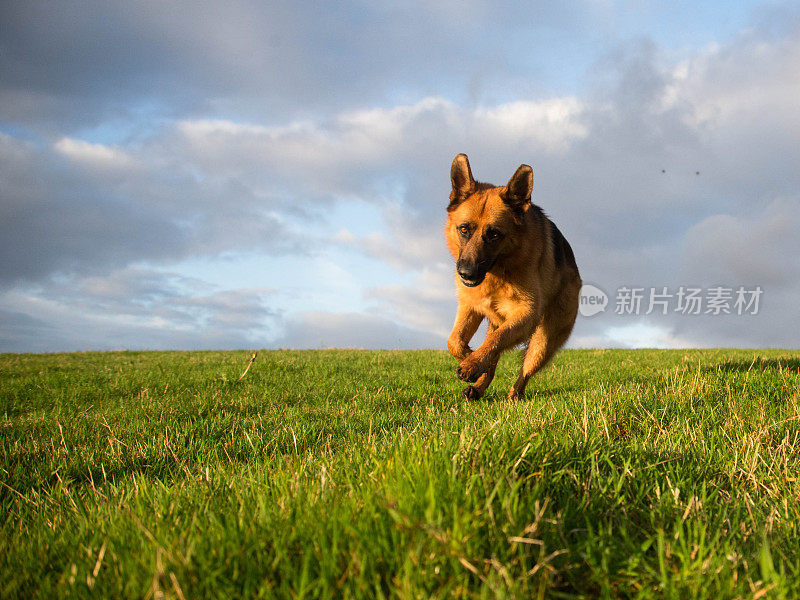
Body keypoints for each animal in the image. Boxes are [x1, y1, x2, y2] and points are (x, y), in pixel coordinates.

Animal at [444, 154, 580, 398]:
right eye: (464, 229)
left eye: (494, 235)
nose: (466, 273)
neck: (497, 273)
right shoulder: (470, 306)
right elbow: (455, 341)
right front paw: (473, 361)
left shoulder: (526, 314)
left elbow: (496, 341)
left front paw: (472, 364)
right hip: (499, 321)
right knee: (492, 349)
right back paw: (478, 387)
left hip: (542, 341)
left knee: (524, 370)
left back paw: (513, 396)